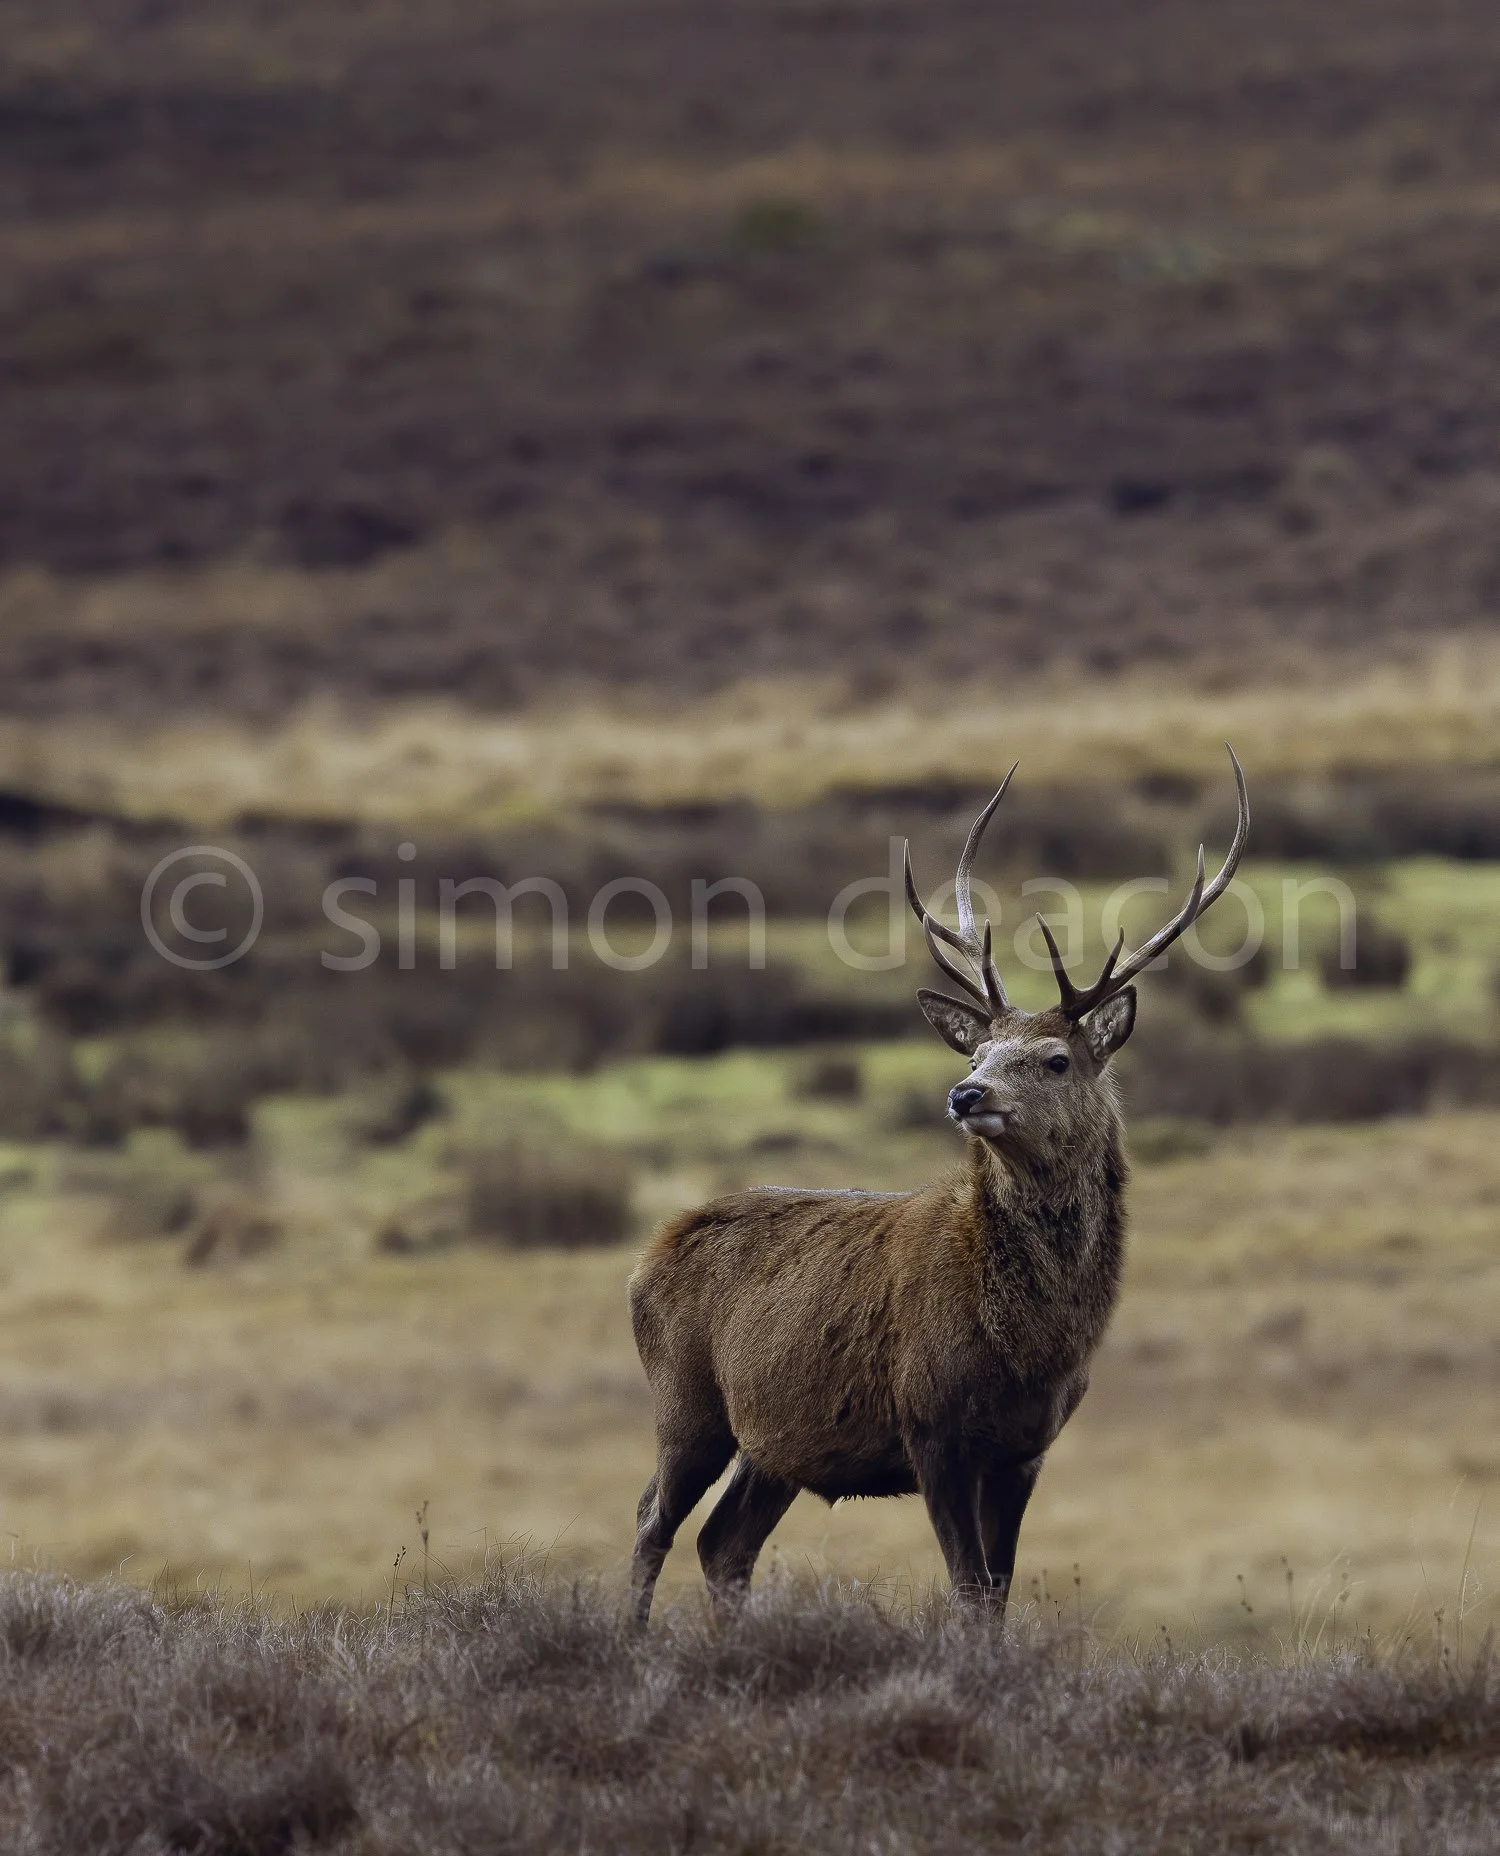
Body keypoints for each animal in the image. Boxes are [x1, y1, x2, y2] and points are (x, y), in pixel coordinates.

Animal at [628, 747, 1248, 1622]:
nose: (966, 1094)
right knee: (653, 1518)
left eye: (1055, 1059)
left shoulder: (1026, 1449)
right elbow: (967, 1588)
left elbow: (996, 1592)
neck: (1030, 1344)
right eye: (978, 1052)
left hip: (777, 1439)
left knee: (724, 1542)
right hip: (686, 1402)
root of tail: (649, 1255)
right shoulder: (931, 1427)